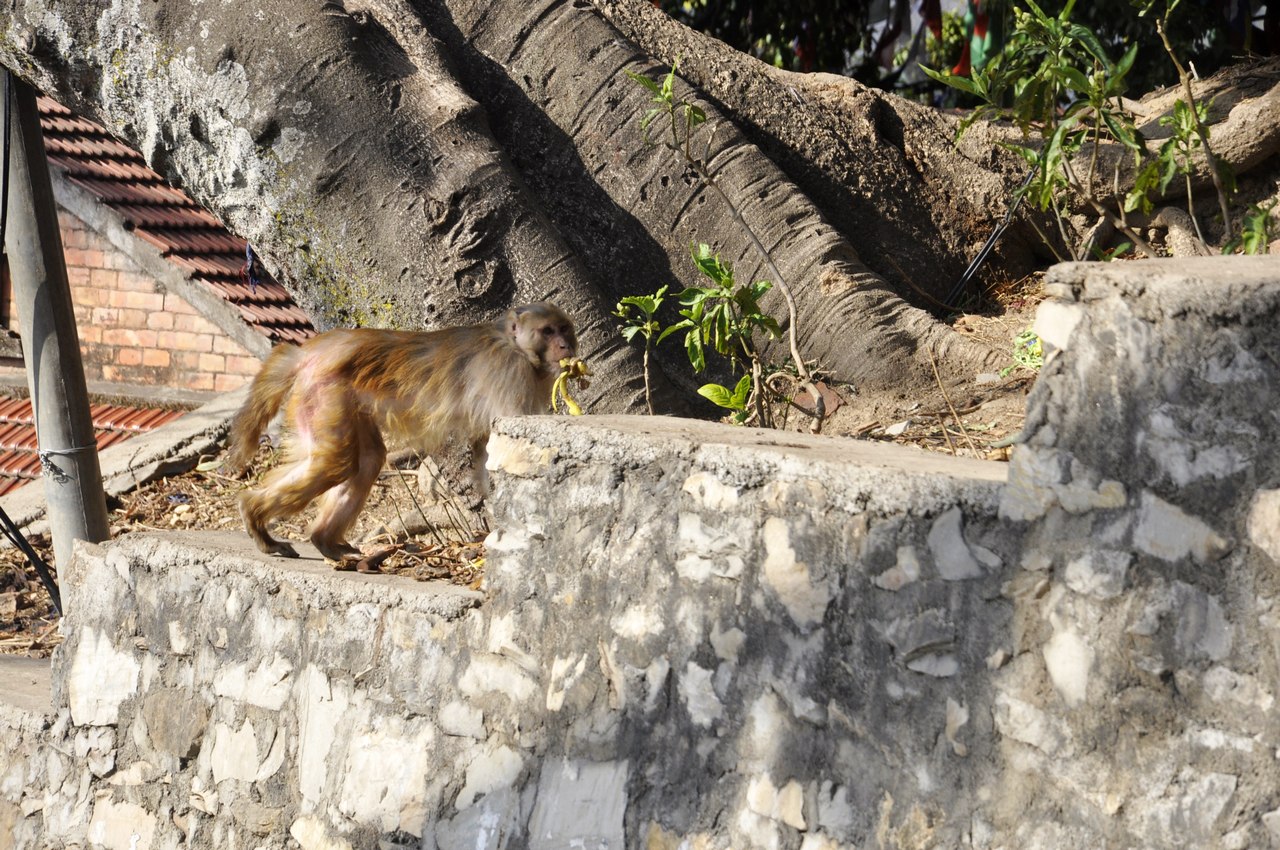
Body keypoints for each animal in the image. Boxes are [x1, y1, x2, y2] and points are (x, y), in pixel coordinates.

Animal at [225, 300, 576, 570]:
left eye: (564, 328)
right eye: (547, 331)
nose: (566, 345)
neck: (512, 344)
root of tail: (314, 351)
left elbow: (484, 453)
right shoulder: (509, 373)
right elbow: (505, 443)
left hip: (341, 400)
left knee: (366, 461)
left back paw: (325, 541)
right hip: (323, 393)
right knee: (336, 462)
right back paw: (254, 516)